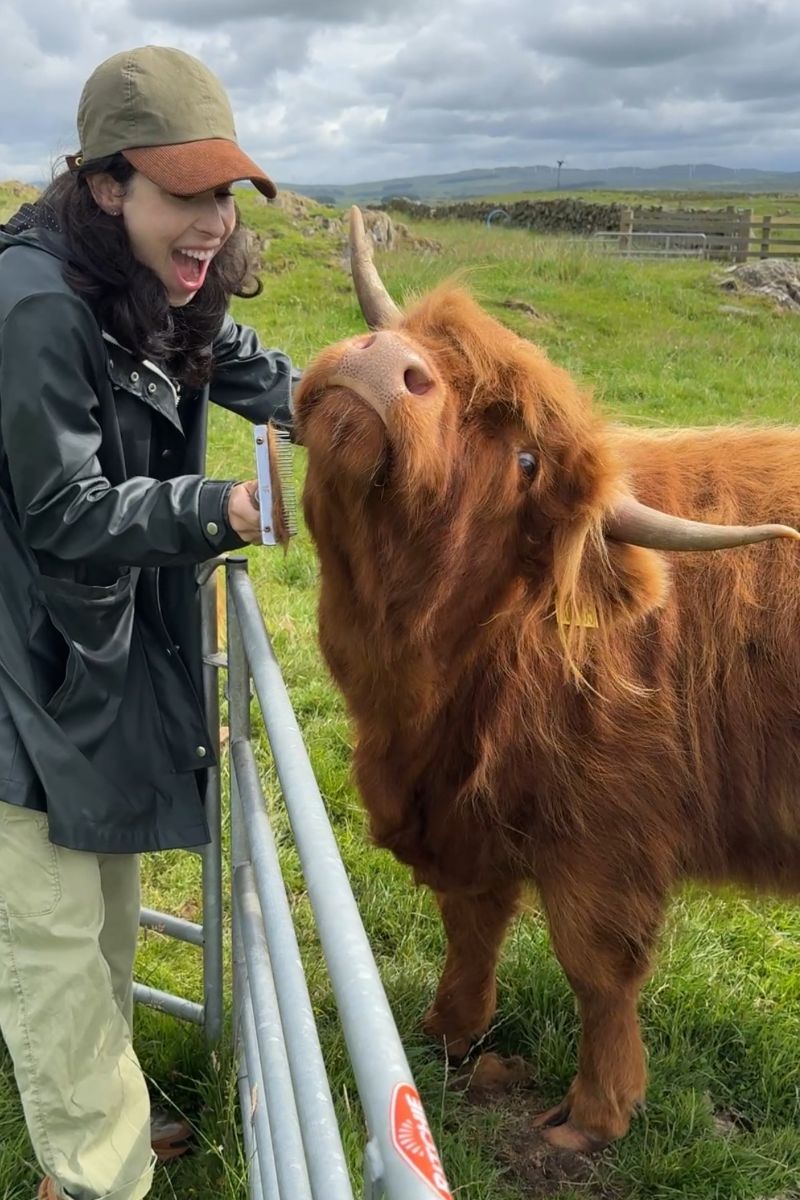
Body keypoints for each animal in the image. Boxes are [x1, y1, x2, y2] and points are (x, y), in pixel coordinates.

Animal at [293, 207, 800, 1153]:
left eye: (527, 461)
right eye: (421, 340)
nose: (386, 362)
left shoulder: (609, 833)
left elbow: (597, 971)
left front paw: (594, 1116)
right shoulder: (466, 808)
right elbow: (472, 920)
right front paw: (446, 1033)